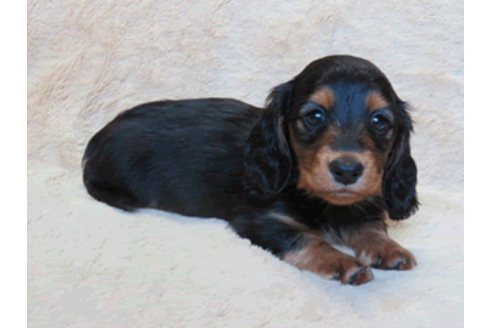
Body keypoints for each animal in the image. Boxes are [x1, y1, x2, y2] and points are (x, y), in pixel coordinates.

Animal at [82, 55, 418, 284]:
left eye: (379, 121)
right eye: (314, 115)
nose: (347, 170)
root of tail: (96, 140)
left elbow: (369, 227)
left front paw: (389, 248)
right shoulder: (258, 220)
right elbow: (305, 237)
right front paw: (341, 260)